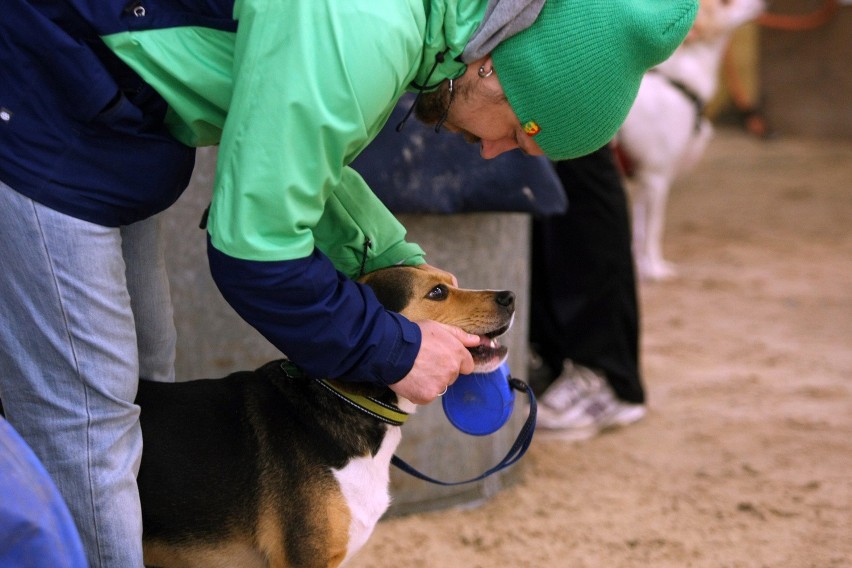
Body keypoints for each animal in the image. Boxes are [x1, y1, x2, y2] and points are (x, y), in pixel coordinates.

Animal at [616, 0, 764, 280]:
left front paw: (641, 268)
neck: (680, 86)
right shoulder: (657, 178)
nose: (763, 3)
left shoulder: (642, 181)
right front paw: (656, 269)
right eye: (724, 3)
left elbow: (639, 230)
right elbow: (654, 229)